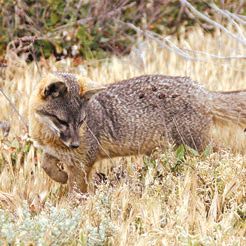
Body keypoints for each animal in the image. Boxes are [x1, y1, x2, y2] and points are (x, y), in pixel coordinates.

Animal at [29, 72, 246, 192]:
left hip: (195, 147)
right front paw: (60, 177)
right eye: (61, 121)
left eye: (81, 121)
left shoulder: (83, 162)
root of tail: (203, 91)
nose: (75, 144)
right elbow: (46, 165)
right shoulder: (55, 152)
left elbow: (76, 191)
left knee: (220, 156)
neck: (49, 136)